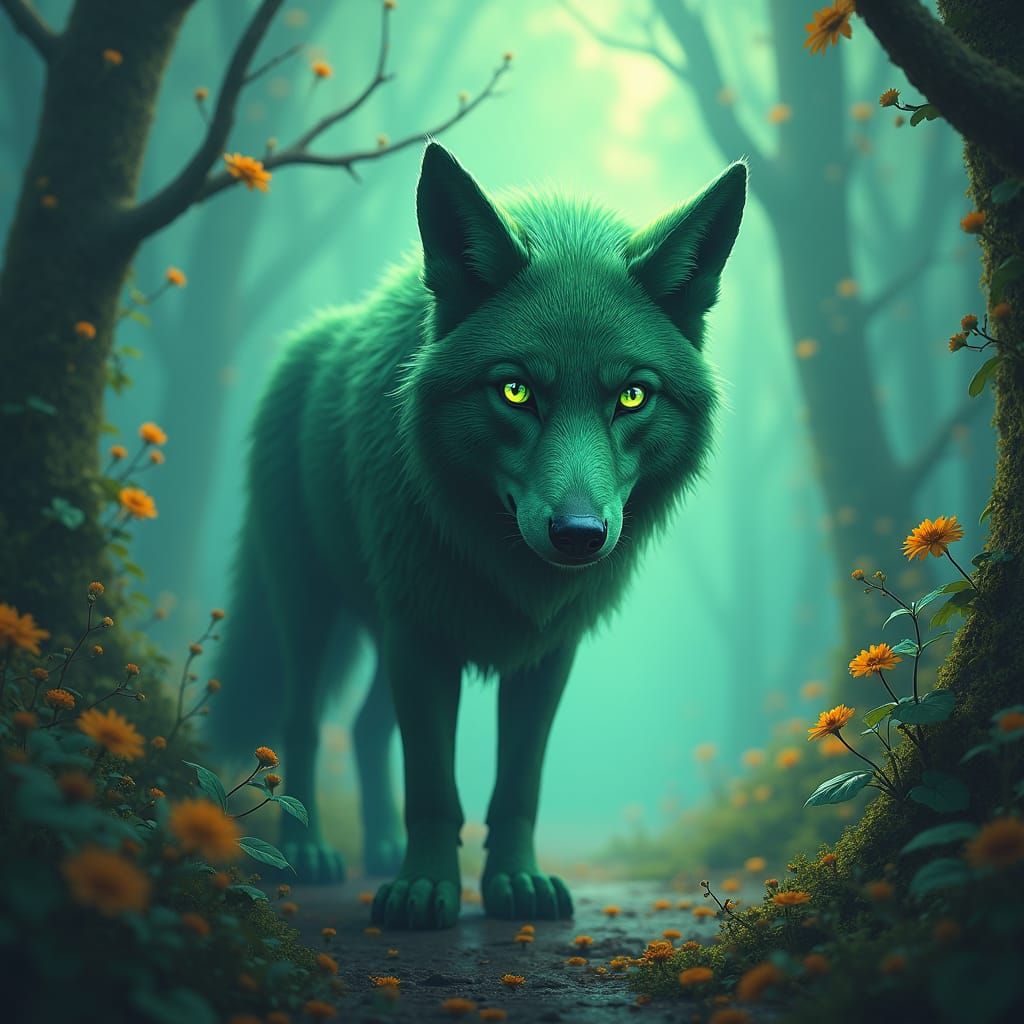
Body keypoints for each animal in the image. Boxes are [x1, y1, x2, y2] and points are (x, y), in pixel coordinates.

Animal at [212, 142, 746, 929]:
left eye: (632, 396)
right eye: (515, 390)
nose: (580, 535)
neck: (501, 564)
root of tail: (305, 343)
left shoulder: (545, 650)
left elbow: (517, 785)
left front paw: (515, 884)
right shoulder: (421, 636)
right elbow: (434, 783)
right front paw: (425, 890)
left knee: (366, 729)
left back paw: (379, 848)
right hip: (312, 610)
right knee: (301, 721)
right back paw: (310, 853)